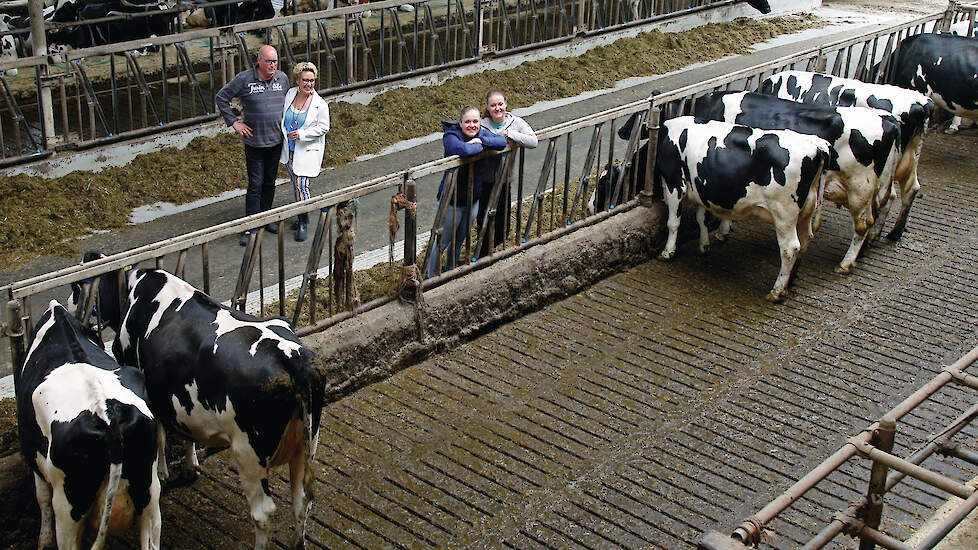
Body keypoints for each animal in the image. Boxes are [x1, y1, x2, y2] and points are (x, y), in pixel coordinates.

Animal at [16, 302, 160, 550]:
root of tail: (107, 413)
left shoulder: (33, 454)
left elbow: (41, 497)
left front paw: (44, 540)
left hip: (69, 507)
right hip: (149, 490)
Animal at [80, 266, 324, 548]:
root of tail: (291, 359)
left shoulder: (147, 390)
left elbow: (160, 434)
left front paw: (163, 472)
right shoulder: (181, 397)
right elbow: (186, 430)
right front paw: (190, 466)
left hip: (248, 452)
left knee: (264, 513)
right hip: (307, 443)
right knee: (302, 500)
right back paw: (298, 542)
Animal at [652, 117, 828, 304]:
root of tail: (816, 145)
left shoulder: (674, 183)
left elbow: (673, 223)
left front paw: (667, 252)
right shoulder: (701, 186)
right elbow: (701, 218)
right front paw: (704, 245)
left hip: (784, 212)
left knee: (790, 248)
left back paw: (777, 291)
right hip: (807, 209)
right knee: (805, 239)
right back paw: (791, 280)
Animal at [756, 69, 932, 242]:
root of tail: (921, 103)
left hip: (872, 179)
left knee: (879, 207)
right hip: (909, 158)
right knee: (909, 189)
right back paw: (893, 233)